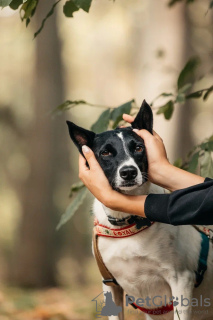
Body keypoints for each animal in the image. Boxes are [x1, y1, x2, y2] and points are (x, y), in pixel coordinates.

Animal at [66, 100, 213, 320]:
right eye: (105, 153)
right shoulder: (110, 285)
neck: (127, 222)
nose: (128, 172)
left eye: (138, 147)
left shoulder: (182, 280)